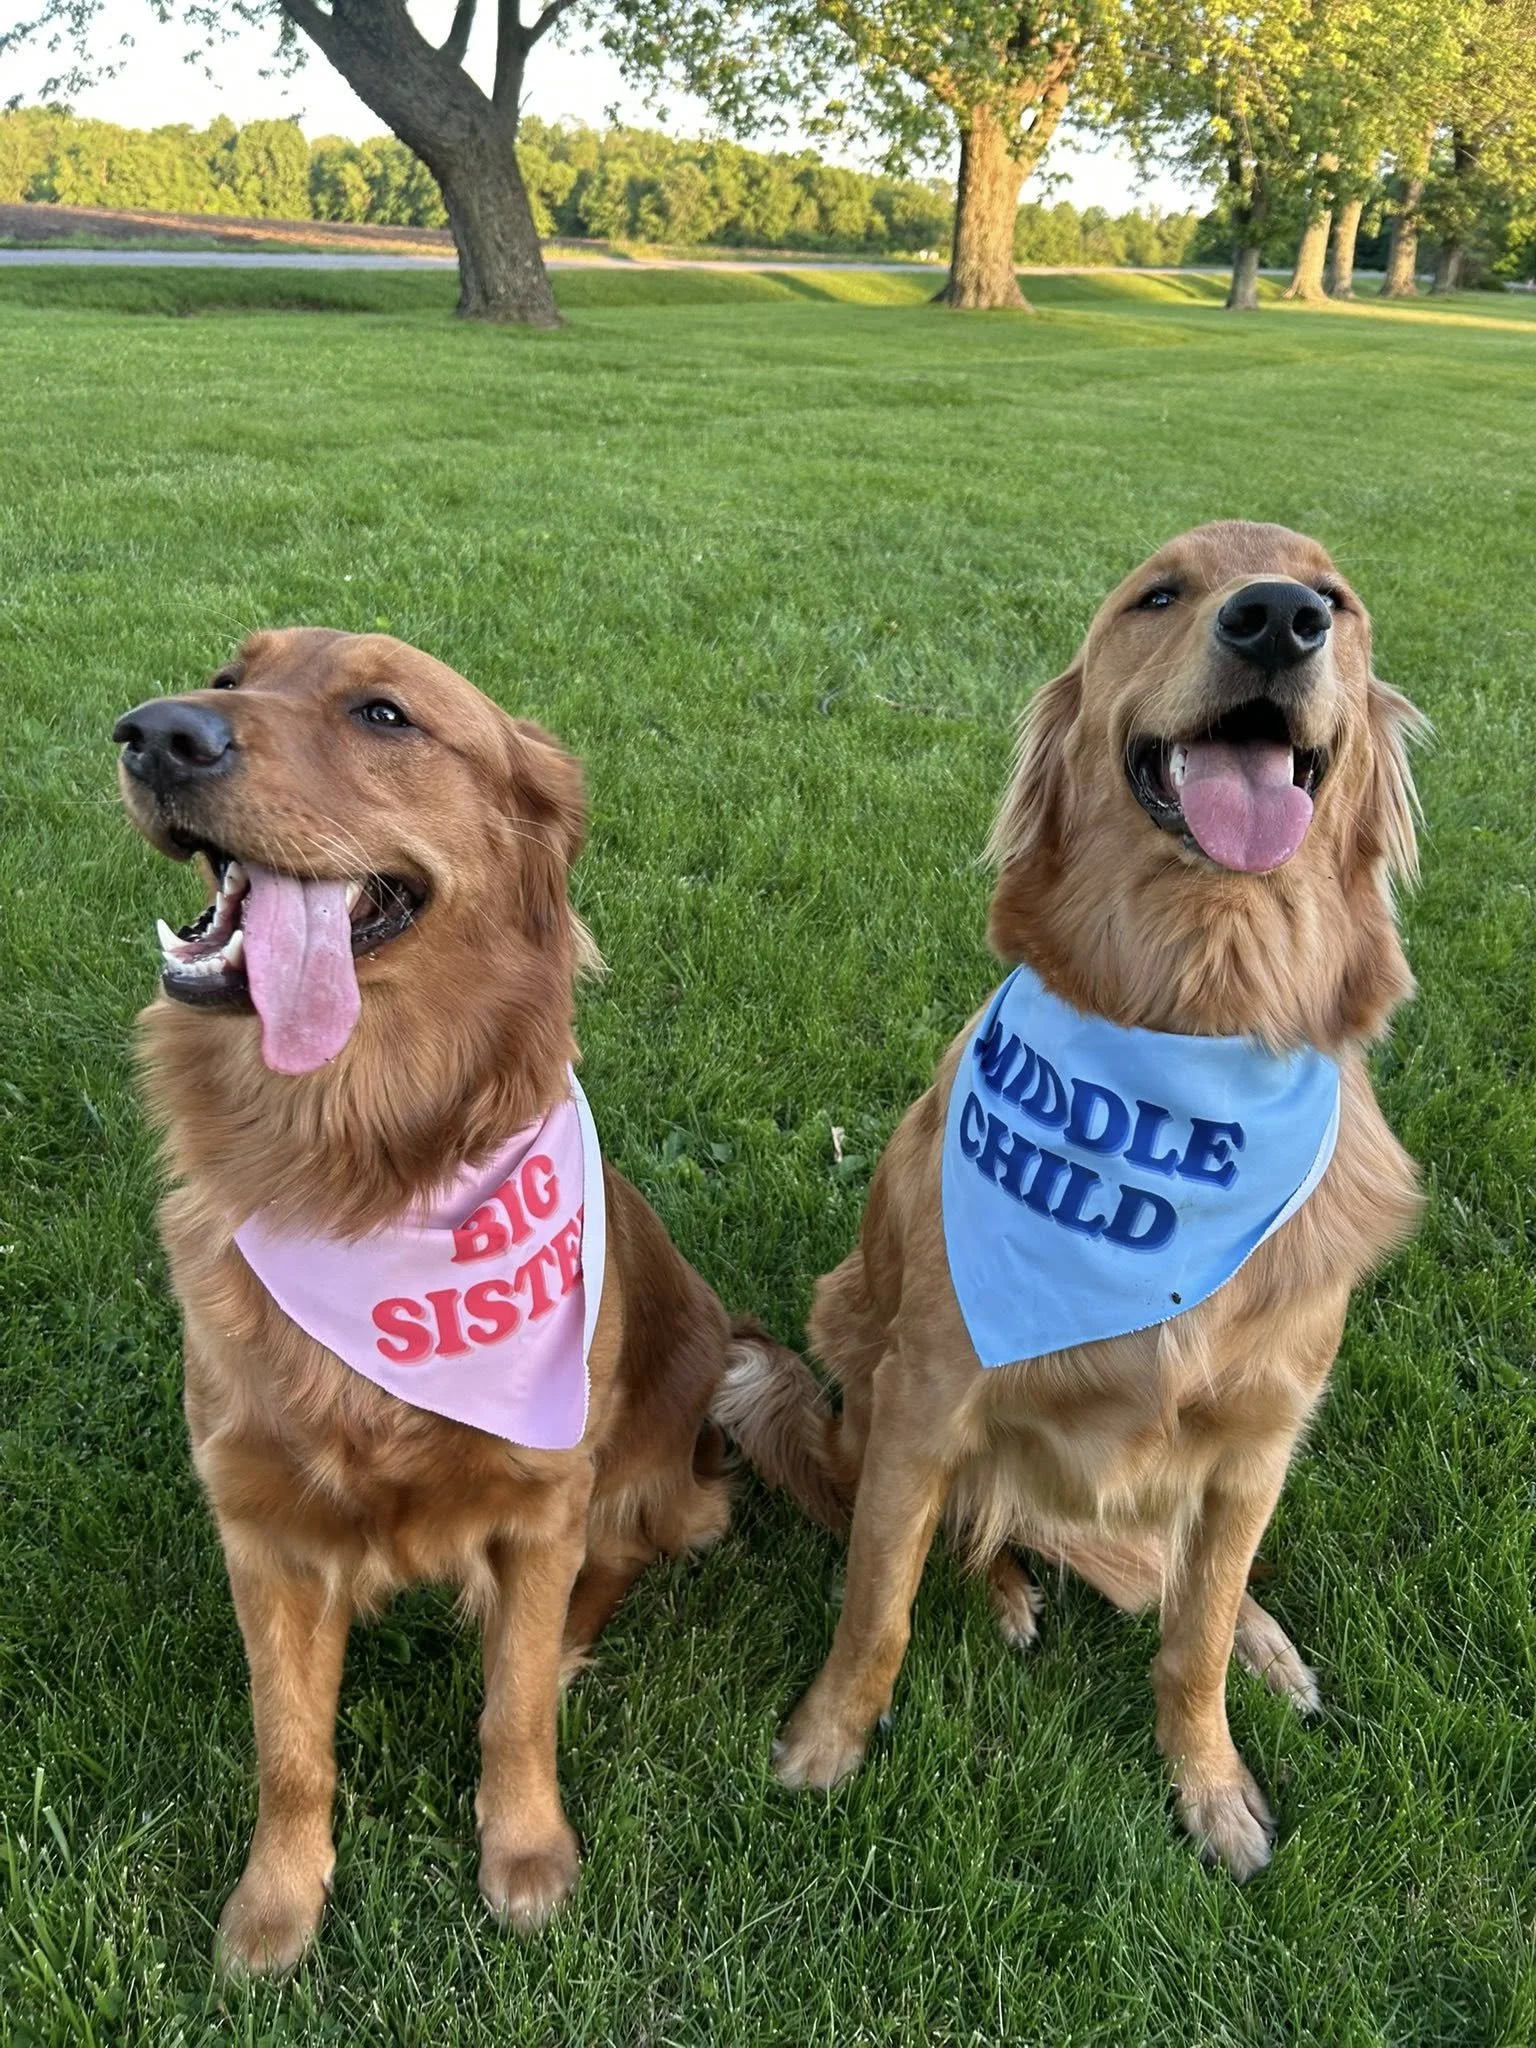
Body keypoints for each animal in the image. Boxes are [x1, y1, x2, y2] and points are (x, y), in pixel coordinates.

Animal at [114, 629, 731, 1973]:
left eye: (385, 714)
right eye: (229, 672)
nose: (156, 733)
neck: (349, 1169)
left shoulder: (543, 1503)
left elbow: (514, 1708)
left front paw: (526, 1851)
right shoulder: (263, 1531)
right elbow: (289, 1745)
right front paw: (276, 1904)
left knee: (619, 1560)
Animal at [721, 521, 1425, 1878]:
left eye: (1339, 598)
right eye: (1159, 595)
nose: (1278, 618)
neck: (1198, 1015)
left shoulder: (1260, 1438)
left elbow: (1193, 1637)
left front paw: (1212, 1781)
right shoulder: (929, 1387)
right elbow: (877, 1598)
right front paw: (827, 1740)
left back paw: (1262, 1643)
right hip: (852, 1341)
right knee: (957, 1521)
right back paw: (1003, 1586)